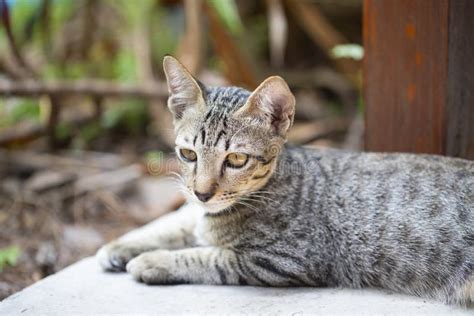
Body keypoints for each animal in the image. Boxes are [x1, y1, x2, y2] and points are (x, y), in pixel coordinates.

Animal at [97, 56, 474, 306]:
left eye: (236, 159)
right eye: (188, 154)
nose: (201, 193)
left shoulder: (287, 259)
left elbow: (211, 256)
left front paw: (153, 260)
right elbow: (182, 228)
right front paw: (122, 246)